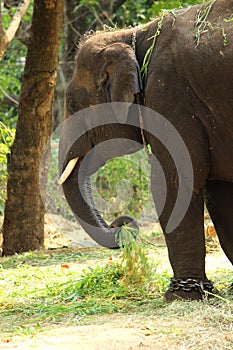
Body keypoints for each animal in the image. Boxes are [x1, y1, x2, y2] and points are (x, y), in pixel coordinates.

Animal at [59, 0, 233, 300]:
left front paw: (181, 296)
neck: (133, 35)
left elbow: (174, 183)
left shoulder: (171, 95)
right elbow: (219, 191)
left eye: (71, 103)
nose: (119, 222)